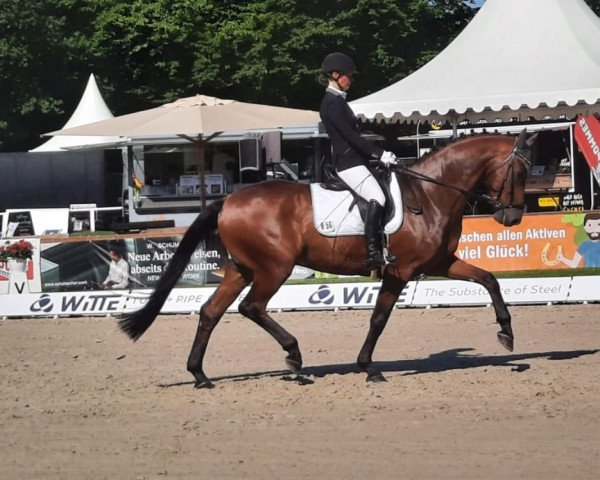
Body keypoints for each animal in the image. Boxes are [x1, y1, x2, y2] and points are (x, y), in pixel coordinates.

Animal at [119, 129, 536, 388]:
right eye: (521, 171)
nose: (512, 218)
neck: (430, 195)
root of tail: (228, 200)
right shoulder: (399, 271)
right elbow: (379, 318)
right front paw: (368, 368)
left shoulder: (438, 264)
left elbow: (489, 279)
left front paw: (507, 333)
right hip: (274, 268)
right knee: (251, 308)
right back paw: (294, 356)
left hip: (241, 269)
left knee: (211, 312)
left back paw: (200, 375)